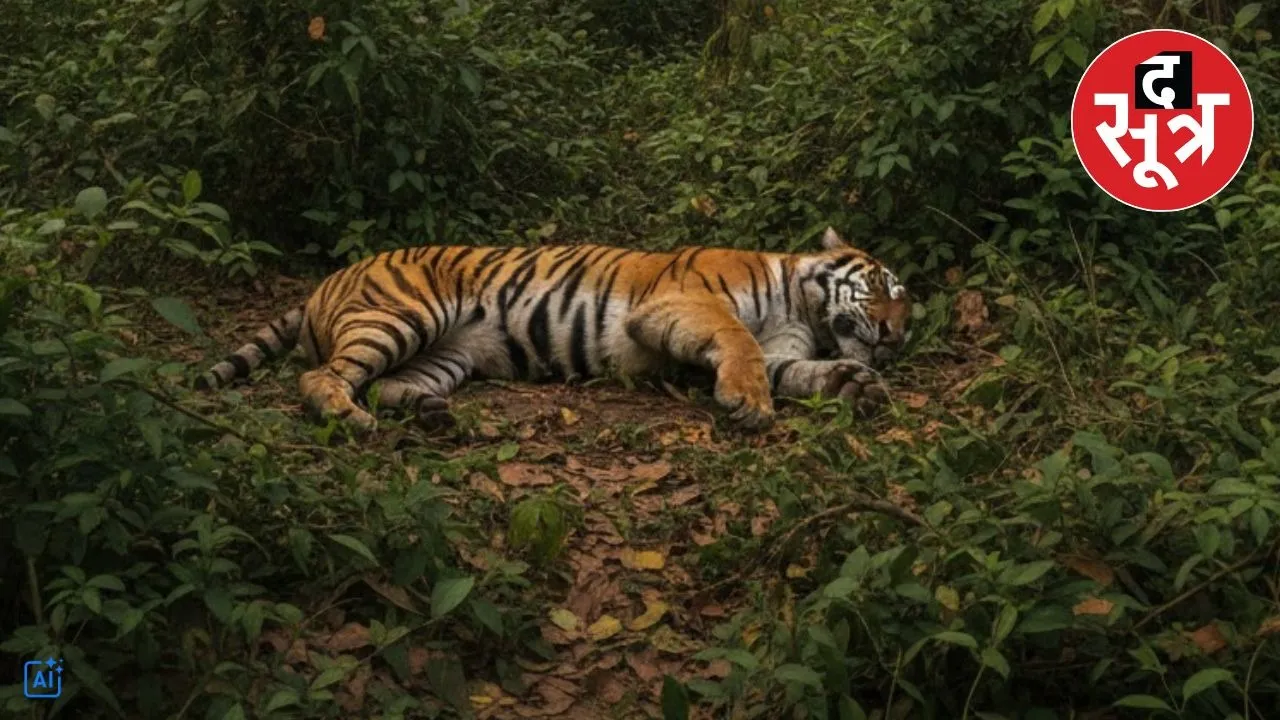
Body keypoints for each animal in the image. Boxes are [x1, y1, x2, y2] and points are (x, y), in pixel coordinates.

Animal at [196, 226, 911, 432]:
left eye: (906, 311)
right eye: (885, 289)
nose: (895, 336)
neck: (802, 305)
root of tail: (326, 279)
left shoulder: (786, 348)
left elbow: (798, 369)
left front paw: (857, 385)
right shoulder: (682, 301)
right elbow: (738, 342)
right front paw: (749, 404)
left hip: (444, 354)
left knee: (384, 383)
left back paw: (432, 414)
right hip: (404, 315)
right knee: (324, 377)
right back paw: (348, 418)